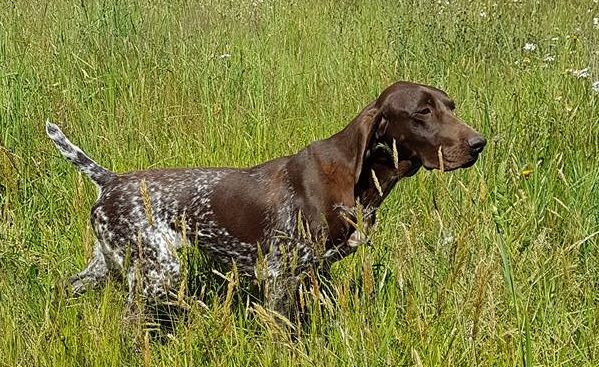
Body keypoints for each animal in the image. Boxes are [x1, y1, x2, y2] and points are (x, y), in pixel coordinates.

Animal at [47, 80, 488, 320]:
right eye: (423, 112)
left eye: (450, 106)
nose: (479, 144)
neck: (360, 176)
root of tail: (111, 181)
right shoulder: (279, 275)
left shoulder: (315, 272)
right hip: (158, 273)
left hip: (107, 266)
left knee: (65, 287)